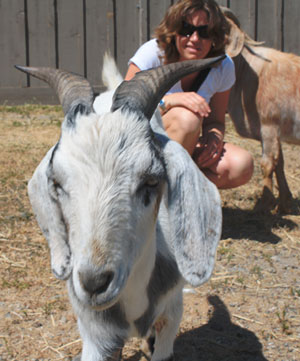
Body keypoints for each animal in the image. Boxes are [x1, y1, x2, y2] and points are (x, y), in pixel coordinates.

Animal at [224, 7, 300, 211]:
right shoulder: (272, 132)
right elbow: (279, 163)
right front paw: (285, 200)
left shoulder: (269, 126)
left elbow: (267, 164)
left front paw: (265, 203)